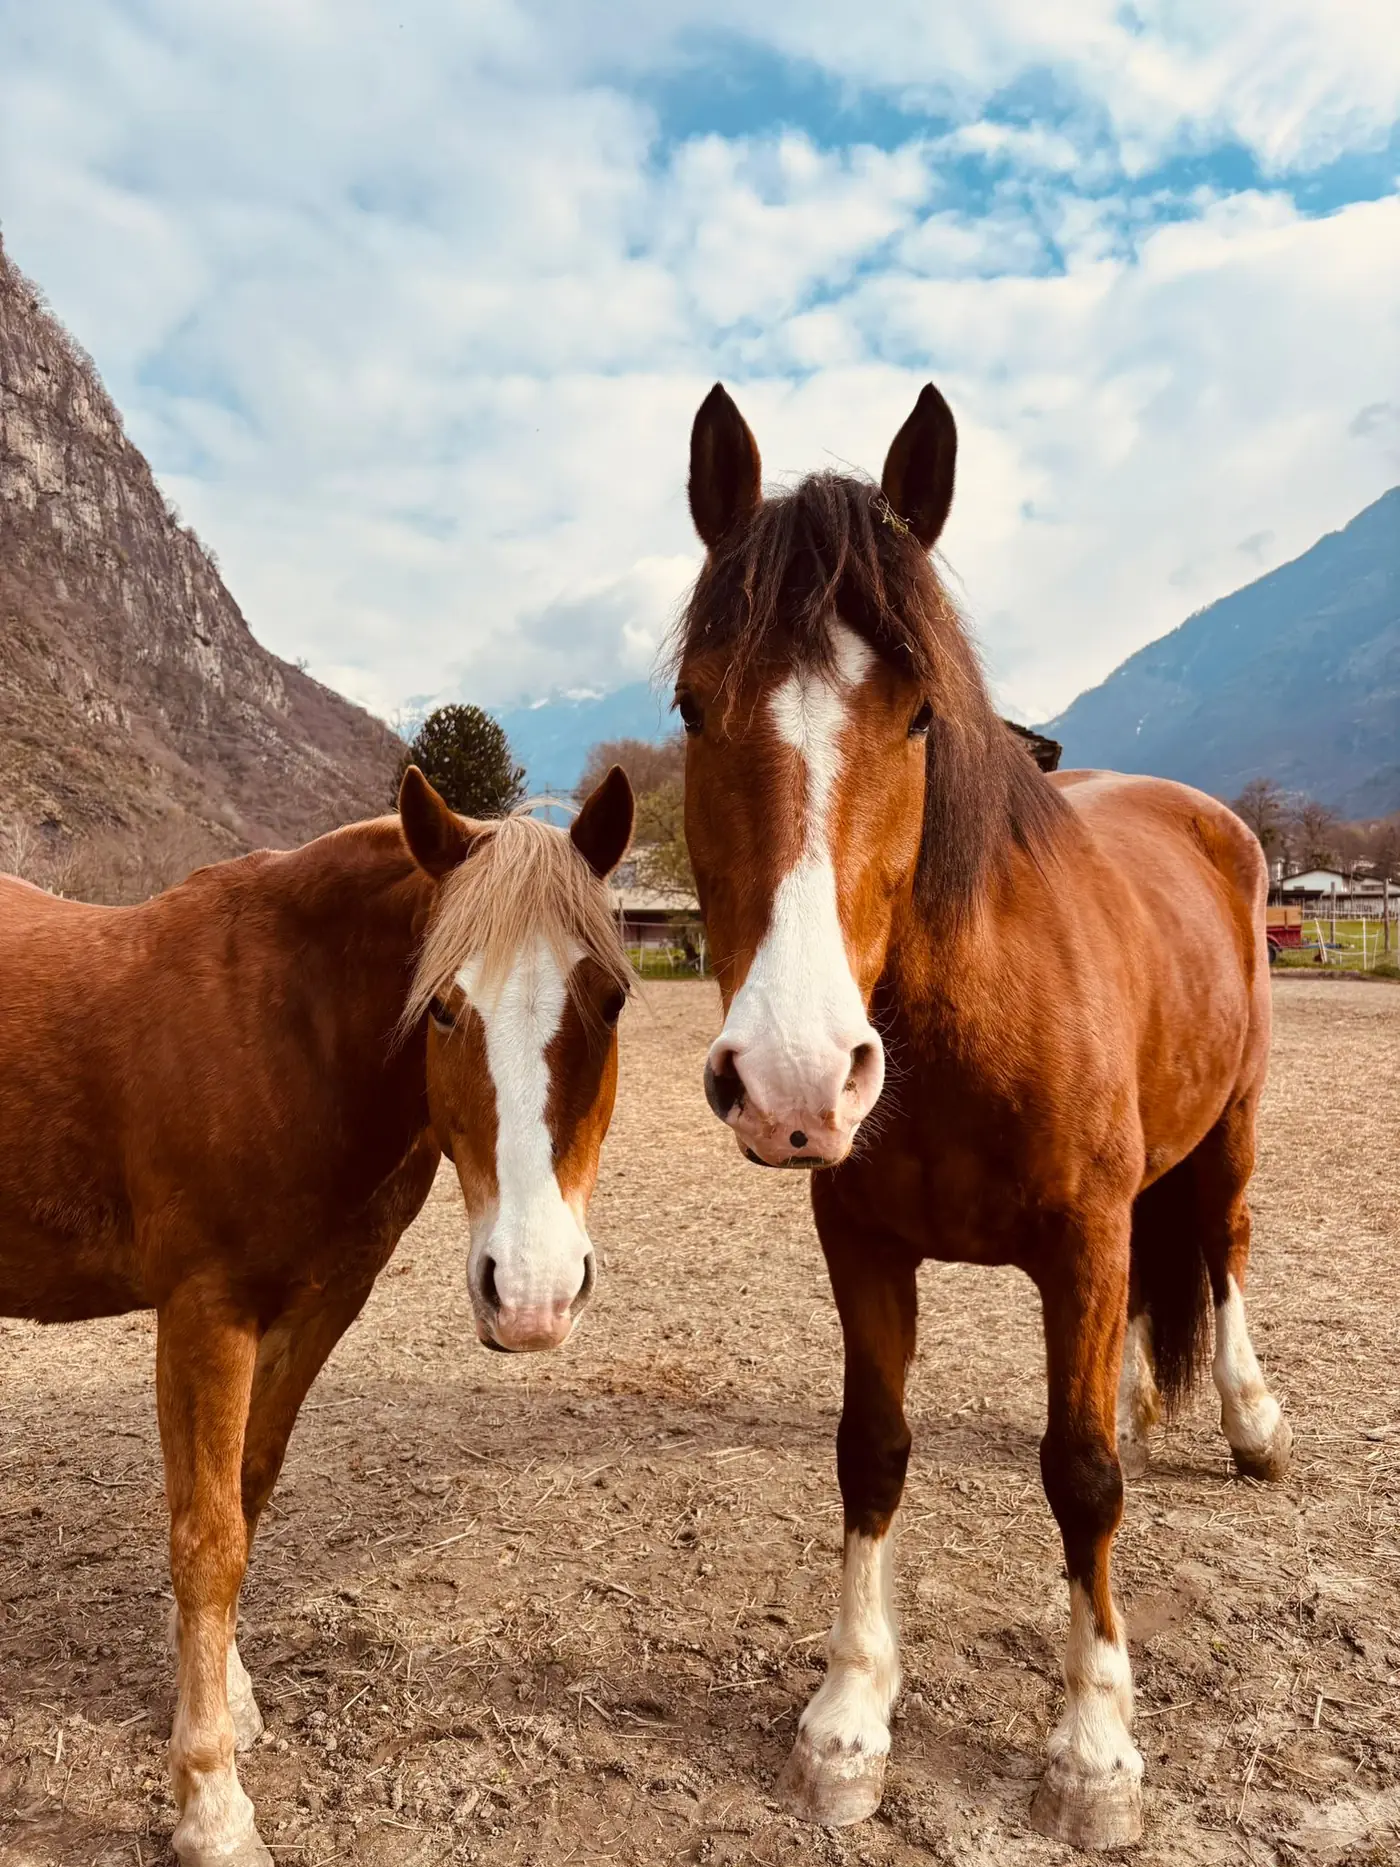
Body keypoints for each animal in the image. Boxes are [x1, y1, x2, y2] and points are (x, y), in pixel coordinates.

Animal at [0, 763, 634, 1867]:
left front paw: (226, 1698)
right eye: (441, 1008)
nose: (533, 1292)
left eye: (609, 999)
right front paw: (211, 1803)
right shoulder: (204, 1310)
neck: (283, 1030)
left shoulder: (321, 1304)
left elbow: (245, 1495)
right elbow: (206, 1535)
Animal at [674, 383, 1291, 1849]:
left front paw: (1096, 1746)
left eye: (916, 715)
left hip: (1231, 1128)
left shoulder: (1079, 1239)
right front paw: (848, 1714)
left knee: (1224, 1253)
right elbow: (872, 1448)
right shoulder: (861, 1244)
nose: (793, 1075)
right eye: (690, 706)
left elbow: (1083, 1476)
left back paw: (1246, 1417)